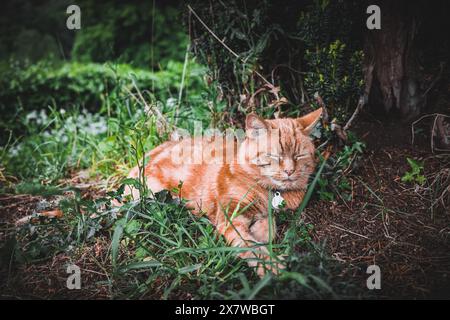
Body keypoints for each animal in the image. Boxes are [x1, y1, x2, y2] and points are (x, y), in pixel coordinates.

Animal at [121, 109, 322, 276]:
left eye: (299, 156)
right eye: (274, 156)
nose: (289, 171)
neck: (270, 193)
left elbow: (268, 224)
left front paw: (263, 231)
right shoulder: (231, 218)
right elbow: (252, 248)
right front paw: (271, 267)